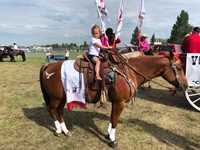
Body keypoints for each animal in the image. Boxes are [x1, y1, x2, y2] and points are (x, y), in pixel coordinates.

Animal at [39, 51, 188, 148]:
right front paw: (113, 140)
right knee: (52, 110)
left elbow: (112, 119)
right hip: (56, 98)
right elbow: (115, 120)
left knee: (59, 111)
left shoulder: (116, 102)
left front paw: (108, 135)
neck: (129, 72)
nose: (186, 85)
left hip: (62, 98)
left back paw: (65, 131)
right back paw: (58, 131)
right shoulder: (119, 103)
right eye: (179, 67)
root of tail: (48, 66)